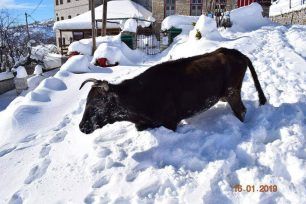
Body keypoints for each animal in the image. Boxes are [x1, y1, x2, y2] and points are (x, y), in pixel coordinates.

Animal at [79, 47, 268, 134]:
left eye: (97, 104)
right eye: (86, 101)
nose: (81, 126)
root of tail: (235, 52)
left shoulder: (170, 122)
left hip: (232, 92)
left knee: (241, 111)